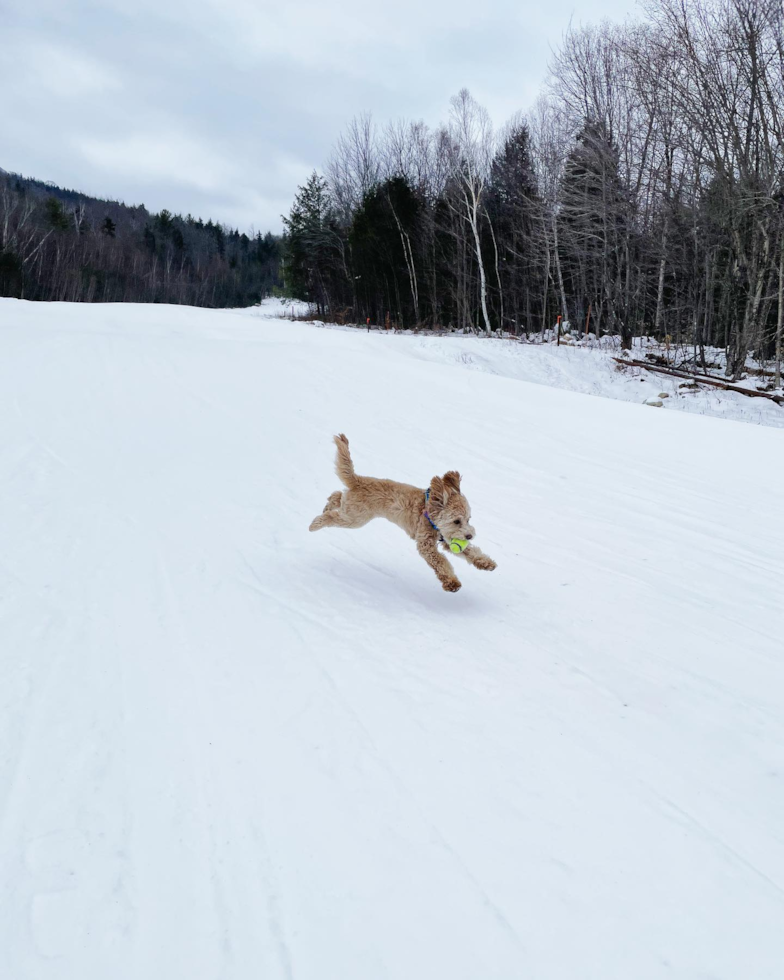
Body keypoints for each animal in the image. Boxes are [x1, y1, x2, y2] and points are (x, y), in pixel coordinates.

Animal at [308, 434, 496, 588]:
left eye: (469, 519)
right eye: (456, 521)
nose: (469, 536)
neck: (429, 512)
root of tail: (358, 480)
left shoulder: (447, 538)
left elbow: (470, 552)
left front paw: (486, 563)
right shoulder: (426, 544)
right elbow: (440, 561)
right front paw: (451, 582)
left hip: (350, 509)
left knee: (336, 495)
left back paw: (328, 505)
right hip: (355, 518)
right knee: (331, 515)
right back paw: (315, 524)